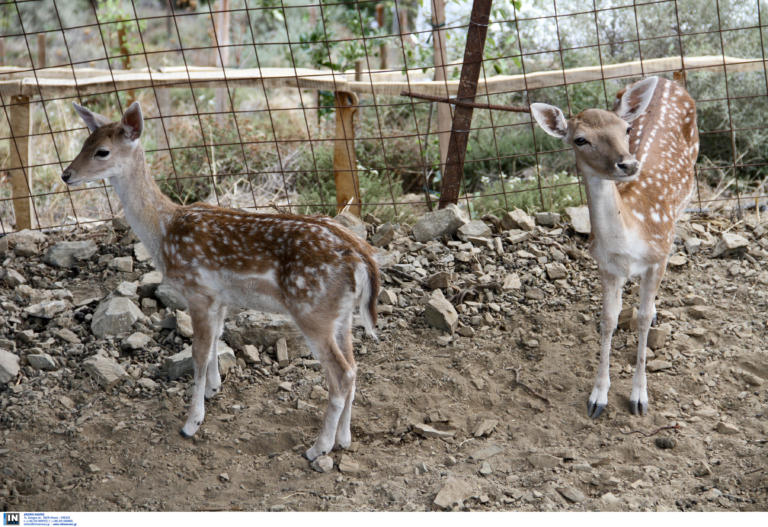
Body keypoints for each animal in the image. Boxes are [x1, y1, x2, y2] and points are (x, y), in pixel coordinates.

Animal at [63, 101, 380, 460]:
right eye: (84, 142)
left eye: (102, 151)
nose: (66, 174)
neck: (164, 230)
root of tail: (361, 256)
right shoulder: (220, 297)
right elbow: (216, 339)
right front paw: (214, 388)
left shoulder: (197, 291)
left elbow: (198, 353)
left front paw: (192, 422)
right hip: (341, 315)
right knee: (354, 368)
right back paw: (344, 438)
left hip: (313, 311)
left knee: (341, 374)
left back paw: (318, 448)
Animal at [532, 76, 700, 418]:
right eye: (580, 139)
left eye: (625, 129)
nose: (628, 164)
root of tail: (669, 79)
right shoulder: (606, 266)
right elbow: (608, 319)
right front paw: (598, 397)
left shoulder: (657, 256)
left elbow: (642, 317)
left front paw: (639, 397)